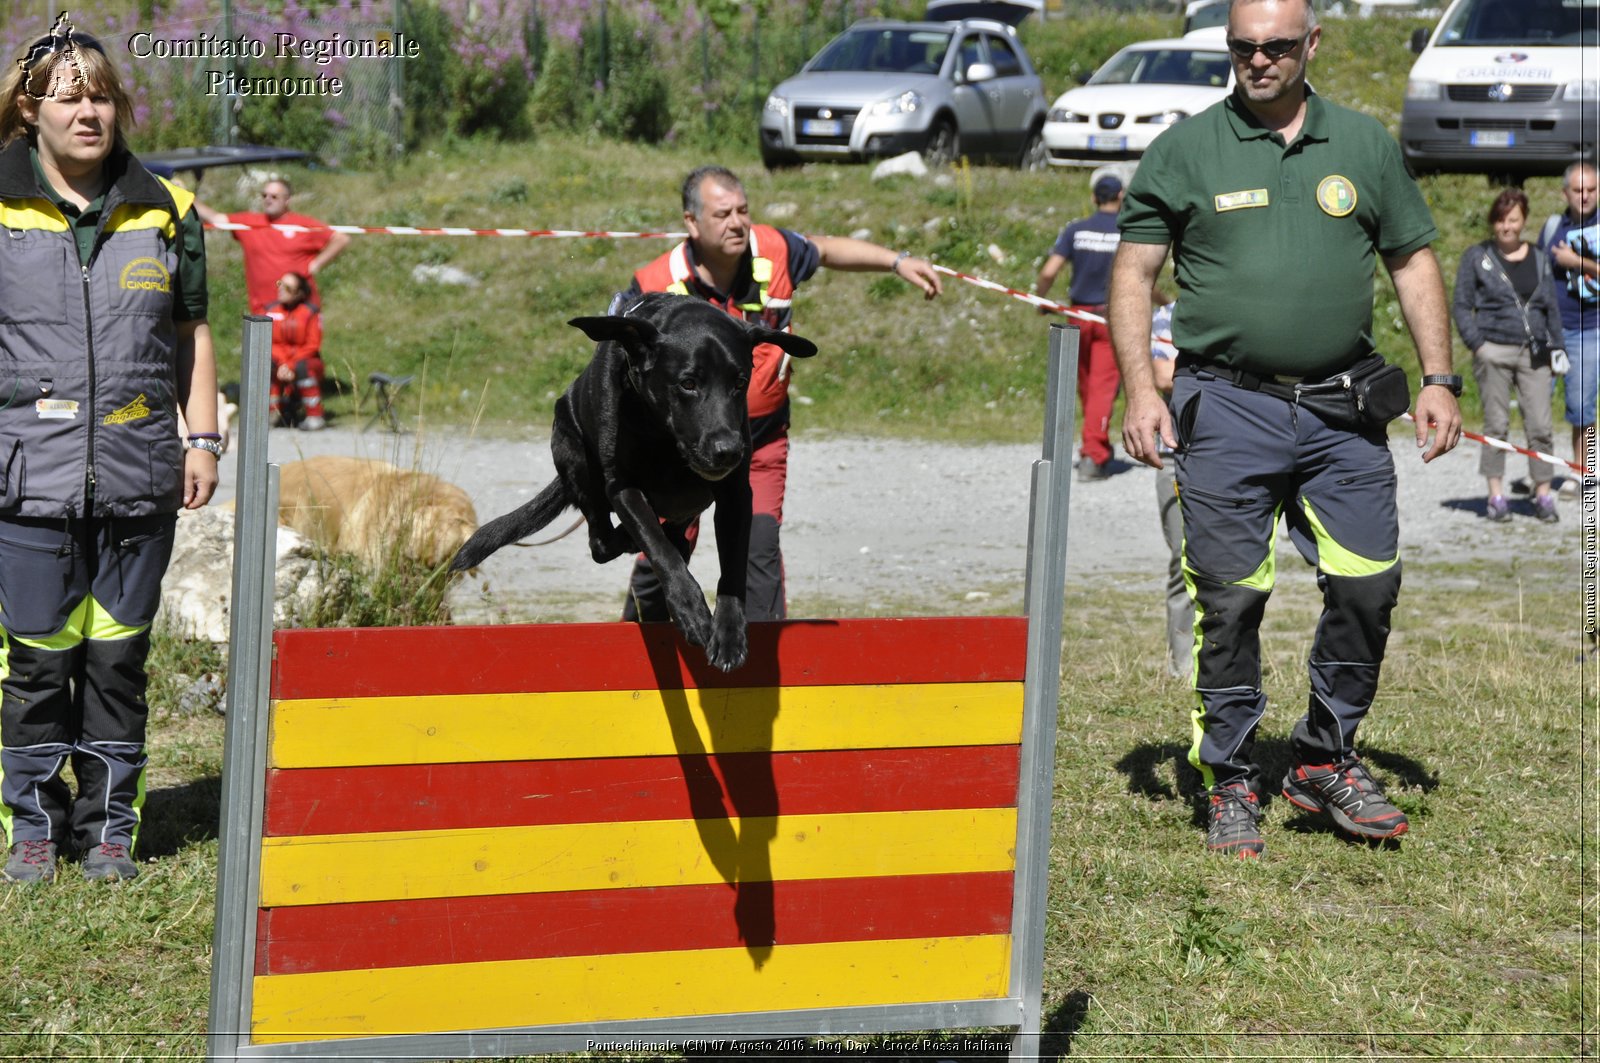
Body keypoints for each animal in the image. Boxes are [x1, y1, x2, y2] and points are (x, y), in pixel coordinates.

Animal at [454, 291, 819, 672]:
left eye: (740, 383)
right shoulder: (623, 488)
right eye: (688, 383)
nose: (728, 451)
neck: (664, 437)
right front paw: (691, 610)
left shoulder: (736, 494)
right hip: (576, 456)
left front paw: (730, 634)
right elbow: (658, 548)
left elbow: (732, 564)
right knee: (603, 541)